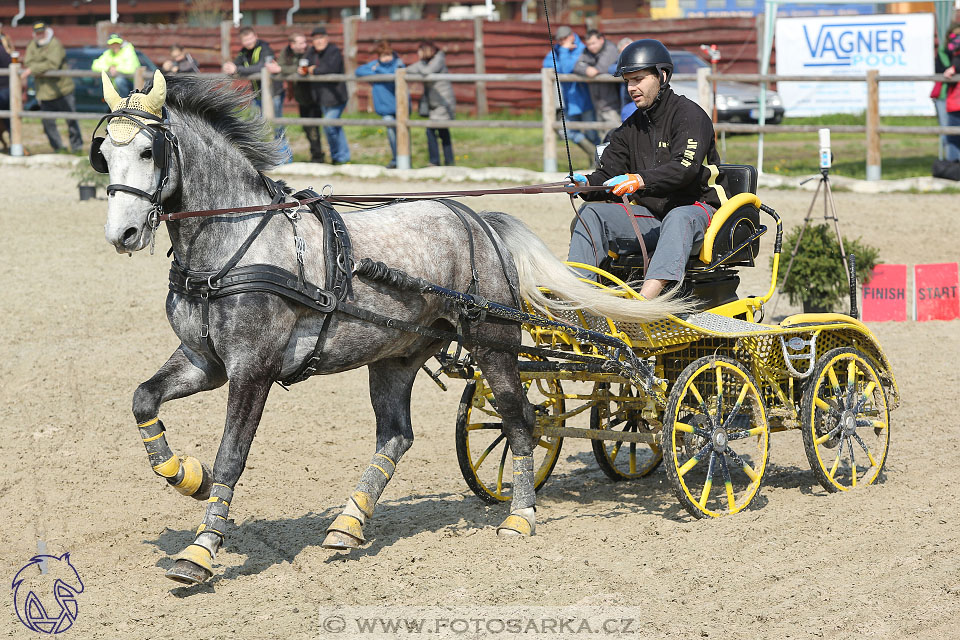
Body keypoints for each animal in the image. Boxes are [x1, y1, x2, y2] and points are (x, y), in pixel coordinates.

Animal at [97, 71, 684, 584]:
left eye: (148, 151)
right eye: (104, 153)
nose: (122, 234)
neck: (235, 243)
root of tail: (480, 222)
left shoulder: (252, 370)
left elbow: (231, 456)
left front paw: (199, 551)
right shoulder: (205, 361)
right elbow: (143, 399)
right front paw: (184, 476)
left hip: (492, 346)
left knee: (521, 421)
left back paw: (520, 515)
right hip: (396, 356)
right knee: (397, 435)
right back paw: (348, 523)